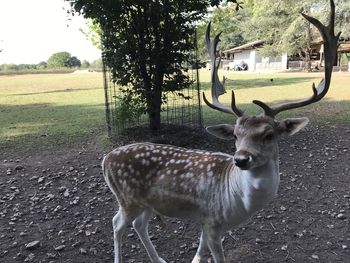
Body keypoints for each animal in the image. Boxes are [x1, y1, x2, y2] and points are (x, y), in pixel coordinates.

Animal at [100, 1, 340, 262]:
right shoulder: (212, 222)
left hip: (147, 202)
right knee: (116, 224)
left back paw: (159, 259)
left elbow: (199, 253)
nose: (241, 159)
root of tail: (106, 159)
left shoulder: (207, 223)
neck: (237, 202)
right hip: (128, 198)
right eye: (235, 135)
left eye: (269, 135)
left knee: (139, 224)